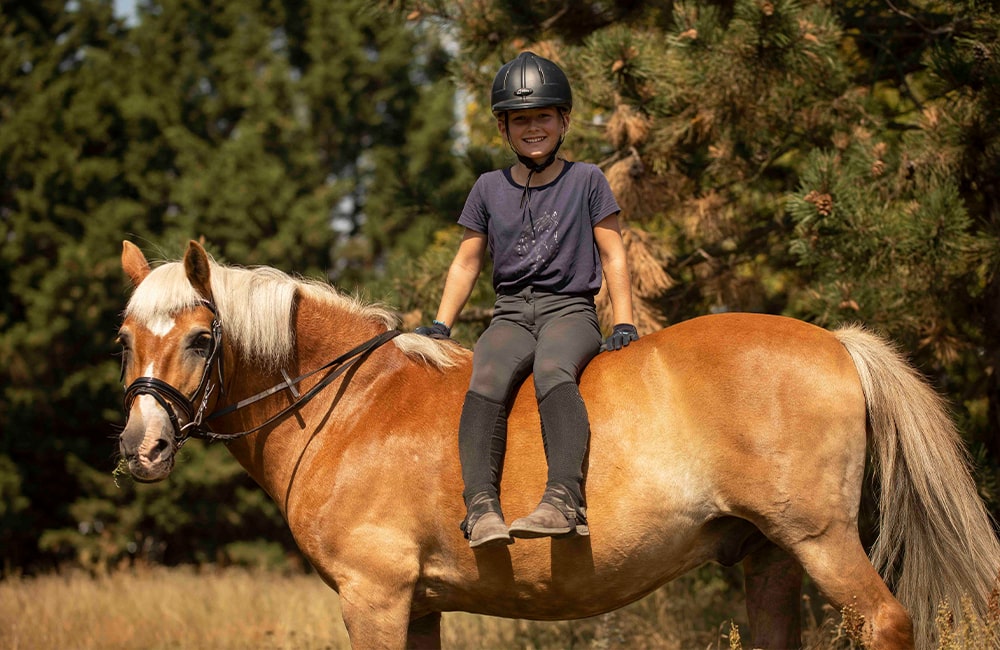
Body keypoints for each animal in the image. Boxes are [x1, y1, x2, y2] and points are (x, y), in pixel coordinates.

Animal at [116, 240, 999, 650]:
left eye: (201, 339)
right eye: (125, 340)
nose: (140, 450)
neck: (350, 403)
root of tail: (838, 343)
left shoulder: (375, 597)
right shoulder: (419, 605)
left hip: (821, 540)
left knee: (888, 621)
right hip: (772, 556)